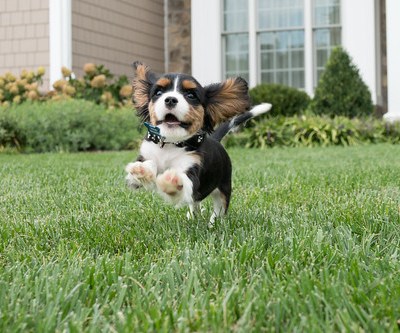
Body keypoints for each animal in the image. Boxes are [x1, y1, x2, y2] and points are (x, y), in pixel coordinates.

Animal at [125, 61, 272, 224]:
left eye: (191, 95)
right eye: (158, 93)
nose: (170, 99)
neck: (171, 143)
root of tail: (215, 139)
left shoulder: (192, 169)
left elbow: (185, 181)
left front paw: (172, 180)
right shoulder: (146, 155)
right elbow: (144, 168)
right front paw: (142, 170)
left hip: (224, 186)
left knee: (220, 207)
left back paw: (213, 224)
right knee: (194, 202)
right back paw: (193, 216)